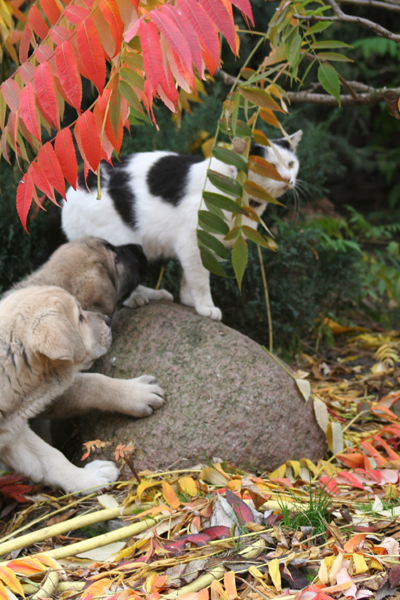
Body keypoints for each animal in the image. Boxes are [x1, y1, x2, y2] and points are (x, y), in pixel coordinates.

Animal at [0, 286, 164, 492]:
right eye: (79, 317)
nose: (108, 319)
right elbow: (87, 384)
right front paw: (138, 393)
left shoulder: (12, 431)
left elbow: (48, 459)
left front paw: (88, 478)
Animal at [61, 129, 302, 322]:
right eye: (270, 167)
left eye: (291, 164)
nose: (288, 179)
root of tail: (74, 187)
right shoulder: (194, 241)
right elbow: (200, 278)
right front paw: (206, 306)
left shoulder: (207, 245)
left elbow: (192, 275)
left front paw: (189, 300)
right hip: (119, 241)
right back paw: (137, 298)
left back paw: (155, 294)